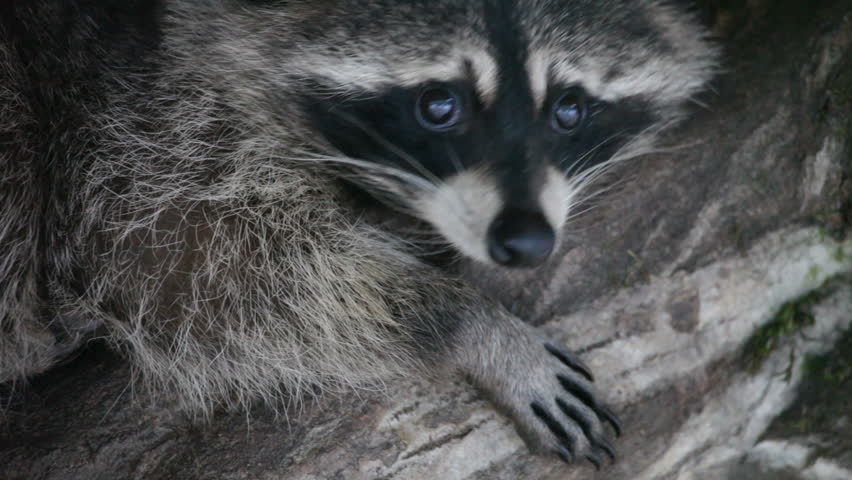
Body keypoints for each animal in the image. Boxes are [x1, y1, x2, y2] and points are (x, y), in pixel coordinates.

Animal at [0, 0, 717, 468]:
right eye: (439, 104)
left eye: (570, 108)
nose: (526, 243)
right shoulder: (129, 143)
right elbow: (207, 267)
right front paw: (474, 327)